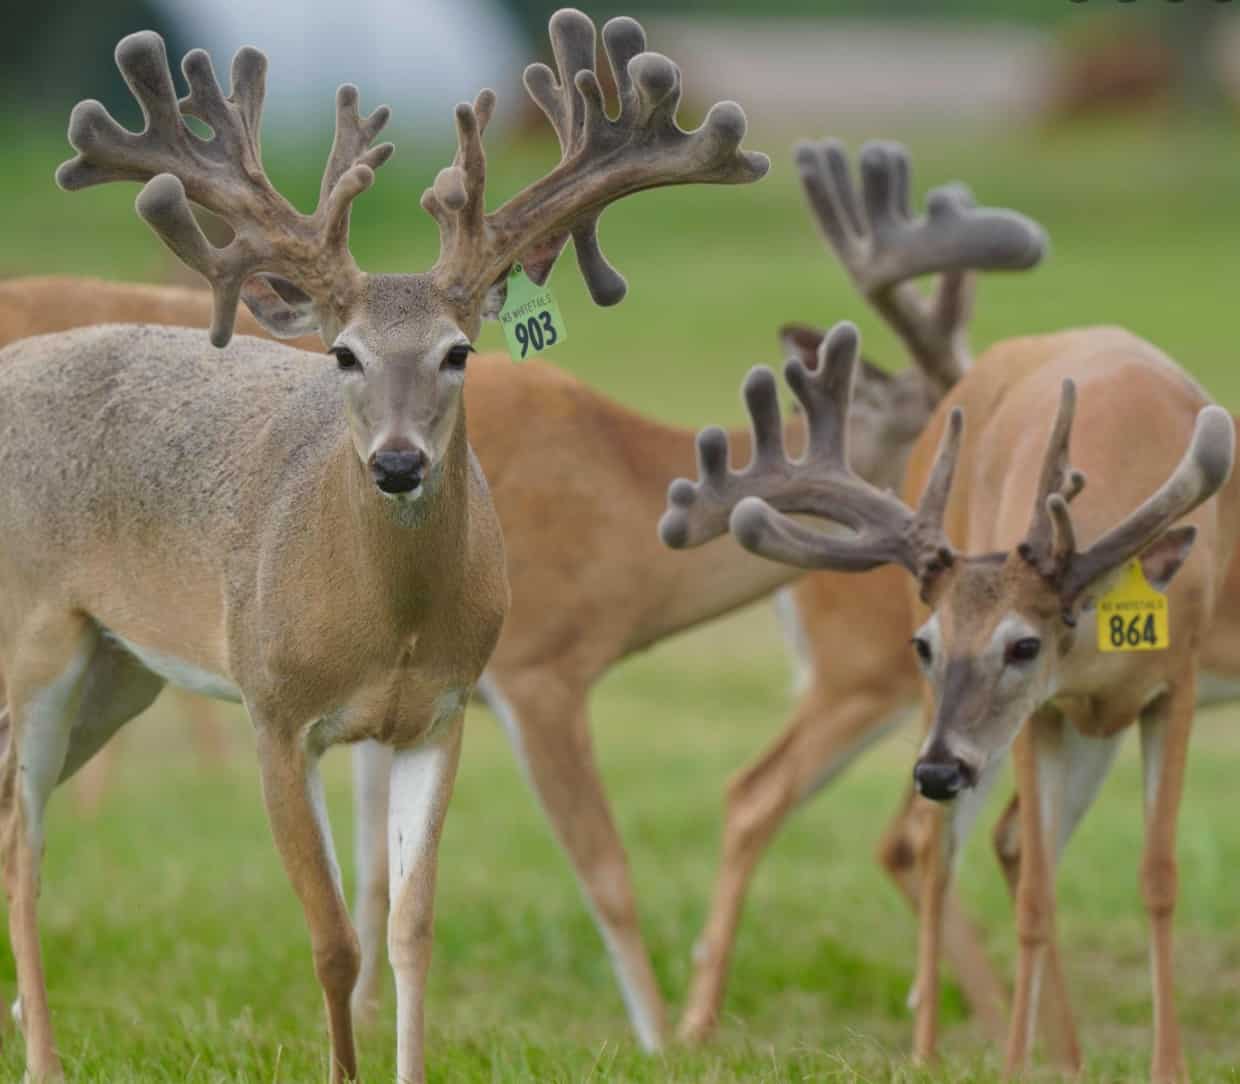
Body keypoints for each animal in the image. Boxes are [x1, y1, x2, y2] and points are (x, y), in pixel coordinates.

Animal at [0, 11, 768, 1082]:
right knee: (23, 843)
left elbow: (410, 930)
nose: (399, 463)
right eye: (344, 354)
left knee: (10, 817)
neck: (385, 625)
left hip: (121, 669)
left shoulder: (438, 714)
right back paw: (43, 1058)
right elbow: (332, 937)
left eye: (459, 351)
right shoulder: (275, 709)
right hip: (37, 636)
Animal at [0, 138, 1047, 1053]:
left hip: (117, 668)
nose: (986, 545)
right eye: (946, 423)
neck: (627, 516)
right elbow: (605, 868)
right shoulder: (544, 667)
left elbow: (381, 882)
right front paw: (661, 1039)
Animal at [661, 315, 1240, 1081]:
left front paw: (1167, 1067)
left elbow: (1157, 876)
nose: (937, 770)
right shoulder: (1038, 716)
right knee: (933, 848)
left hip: (1066, 733)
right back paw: (928, 1049)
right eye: (925, 645)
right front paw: (1015, 1064)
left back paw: (1070, 1059)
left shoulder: (1173, 684)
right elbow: (1034, 899)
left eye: (1024, 646)